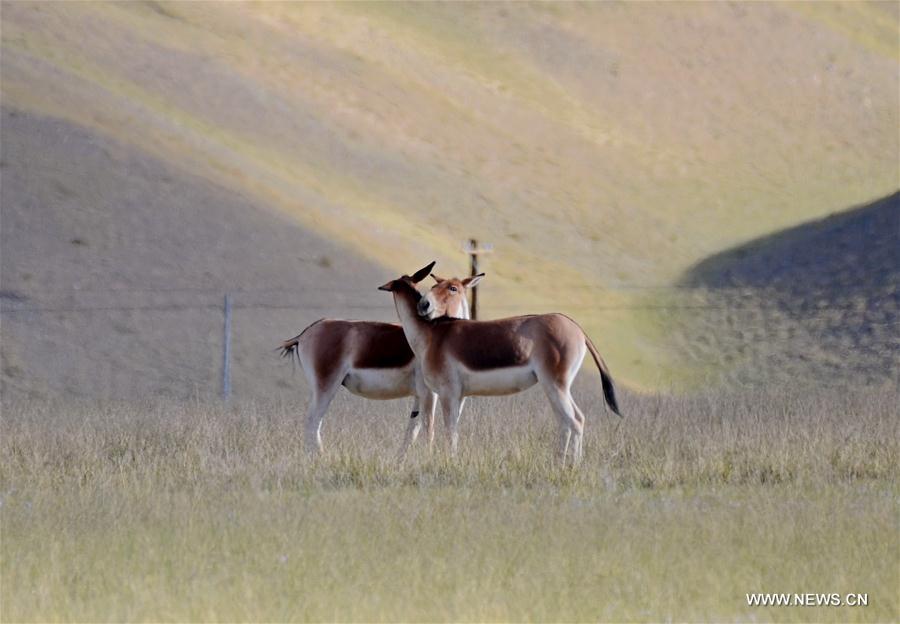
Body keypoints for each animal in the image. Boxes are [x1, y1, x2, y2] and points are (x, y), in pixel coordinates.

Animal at [280, 273, 484, 456]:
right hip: (326, 386)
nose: (425, 306)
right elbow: (428, 429)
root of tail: (307, 332)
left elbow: (412, 431)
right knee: (312, 422)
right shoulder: (430, 393)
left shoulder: (421, 395)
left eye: (453, 288)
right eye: (435, 286)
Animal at [379, 262, 620, 464]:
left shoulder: (447, 393)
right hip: (555, 388)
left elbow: (449, 432)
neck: (433, 334)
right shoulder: (459, 396)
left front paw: (450, 463)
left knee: (575, 421)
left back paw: (571, 467)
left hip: (556, 385)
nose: (424, 305)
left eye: (453, 288)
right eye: (434, 285)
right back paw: (561, 464)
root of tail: (576, 327)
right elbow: (453, 429)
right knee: (568, 422)